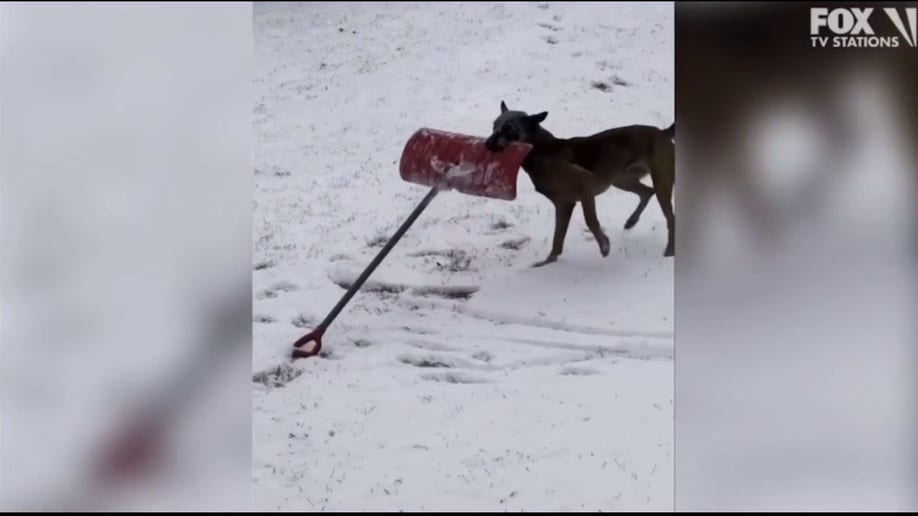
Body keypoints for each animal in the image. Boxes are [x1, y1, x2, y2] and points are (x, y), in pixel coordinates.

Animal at [482, 102, 676, 268]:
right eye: (494, 126)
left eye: (510, 128)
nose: (487, 144)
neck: (540, 152)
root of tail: (663, 132)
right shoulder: (563, 205)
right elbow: (557, 238)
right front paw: (548, 262)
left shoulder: (585, 188)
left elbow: (590, 221)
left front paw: (604, 246)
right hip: (620, 179)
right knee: (647, 192)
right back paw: (631, 221)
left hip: (661, 179)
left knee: (670, 216)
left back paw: (670, 251)